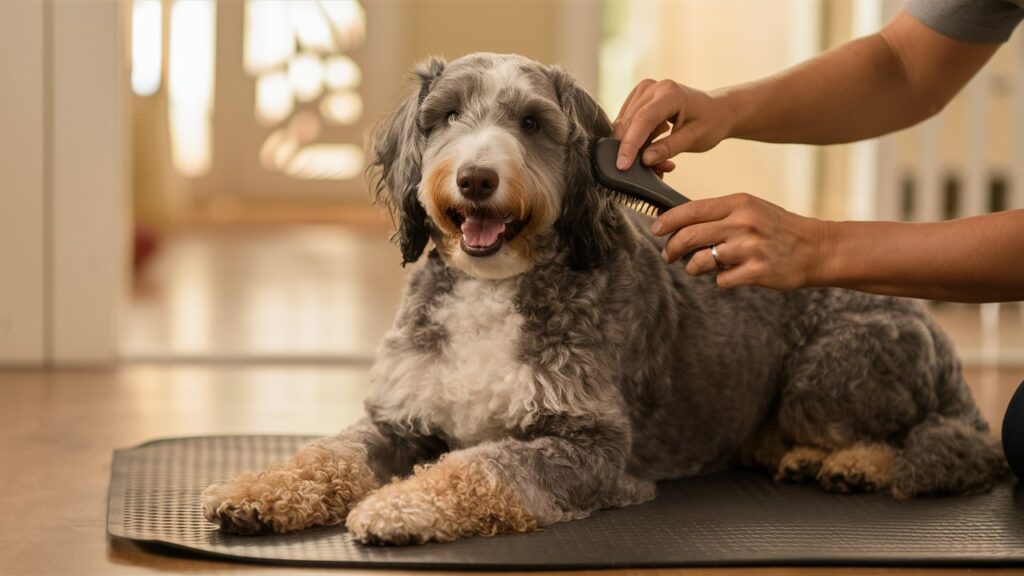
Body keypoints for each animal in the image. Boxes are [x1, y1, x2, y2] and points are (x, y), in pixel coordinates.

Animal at [201, 52, 1007, 541]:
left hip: (829, 373)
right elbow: (329, 453)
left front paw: (401, 505)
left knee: (943, 445)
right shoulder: (401, 417)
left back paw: (848, 465)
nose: (476, 179)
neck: (495, 287)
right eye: (447, 116)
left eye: (531, 122)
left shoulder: (587, 443)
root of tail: (938, 336)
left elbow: (482, 465)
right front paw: (261, 491)